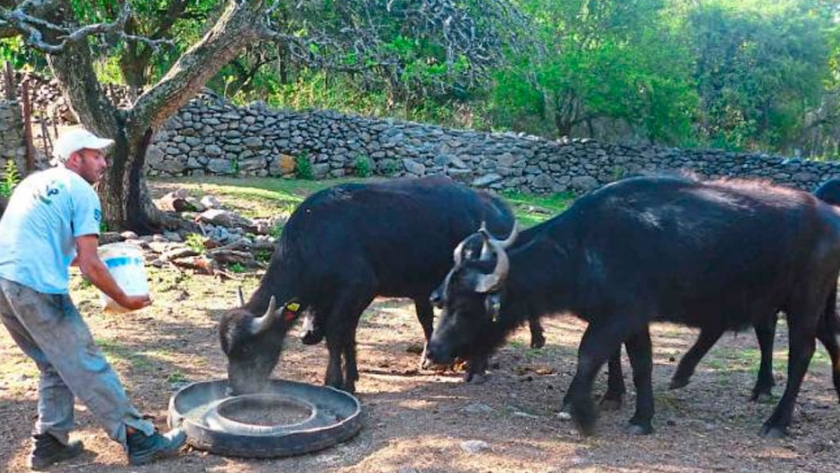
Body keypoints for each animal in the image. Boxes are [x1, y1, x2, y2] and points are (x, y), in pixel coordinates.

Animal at [219, 177, 543, 394]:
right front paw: (351, 377)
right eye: (228, 351)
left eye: (247, 350)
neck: (317, 237)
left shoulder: (358, 289)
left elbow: (336, 334)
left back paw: (479, 367)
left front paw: (334, 381)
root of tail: (500, 209)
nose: (235, 389)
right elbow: (347, 335)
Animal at [425, 176, 840, 437]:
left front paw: (580, 409)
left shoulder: (620, 314)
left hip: (804, 303)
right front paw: (639, 413)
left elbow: (590, 354)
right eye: (445, 299)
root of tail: (829, 215)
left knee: (801, 354)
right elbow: (638, 362)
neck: (587, 246)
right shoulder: (631, 319)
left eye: (467, 307)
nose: (433, 352)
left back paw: (777, 422)